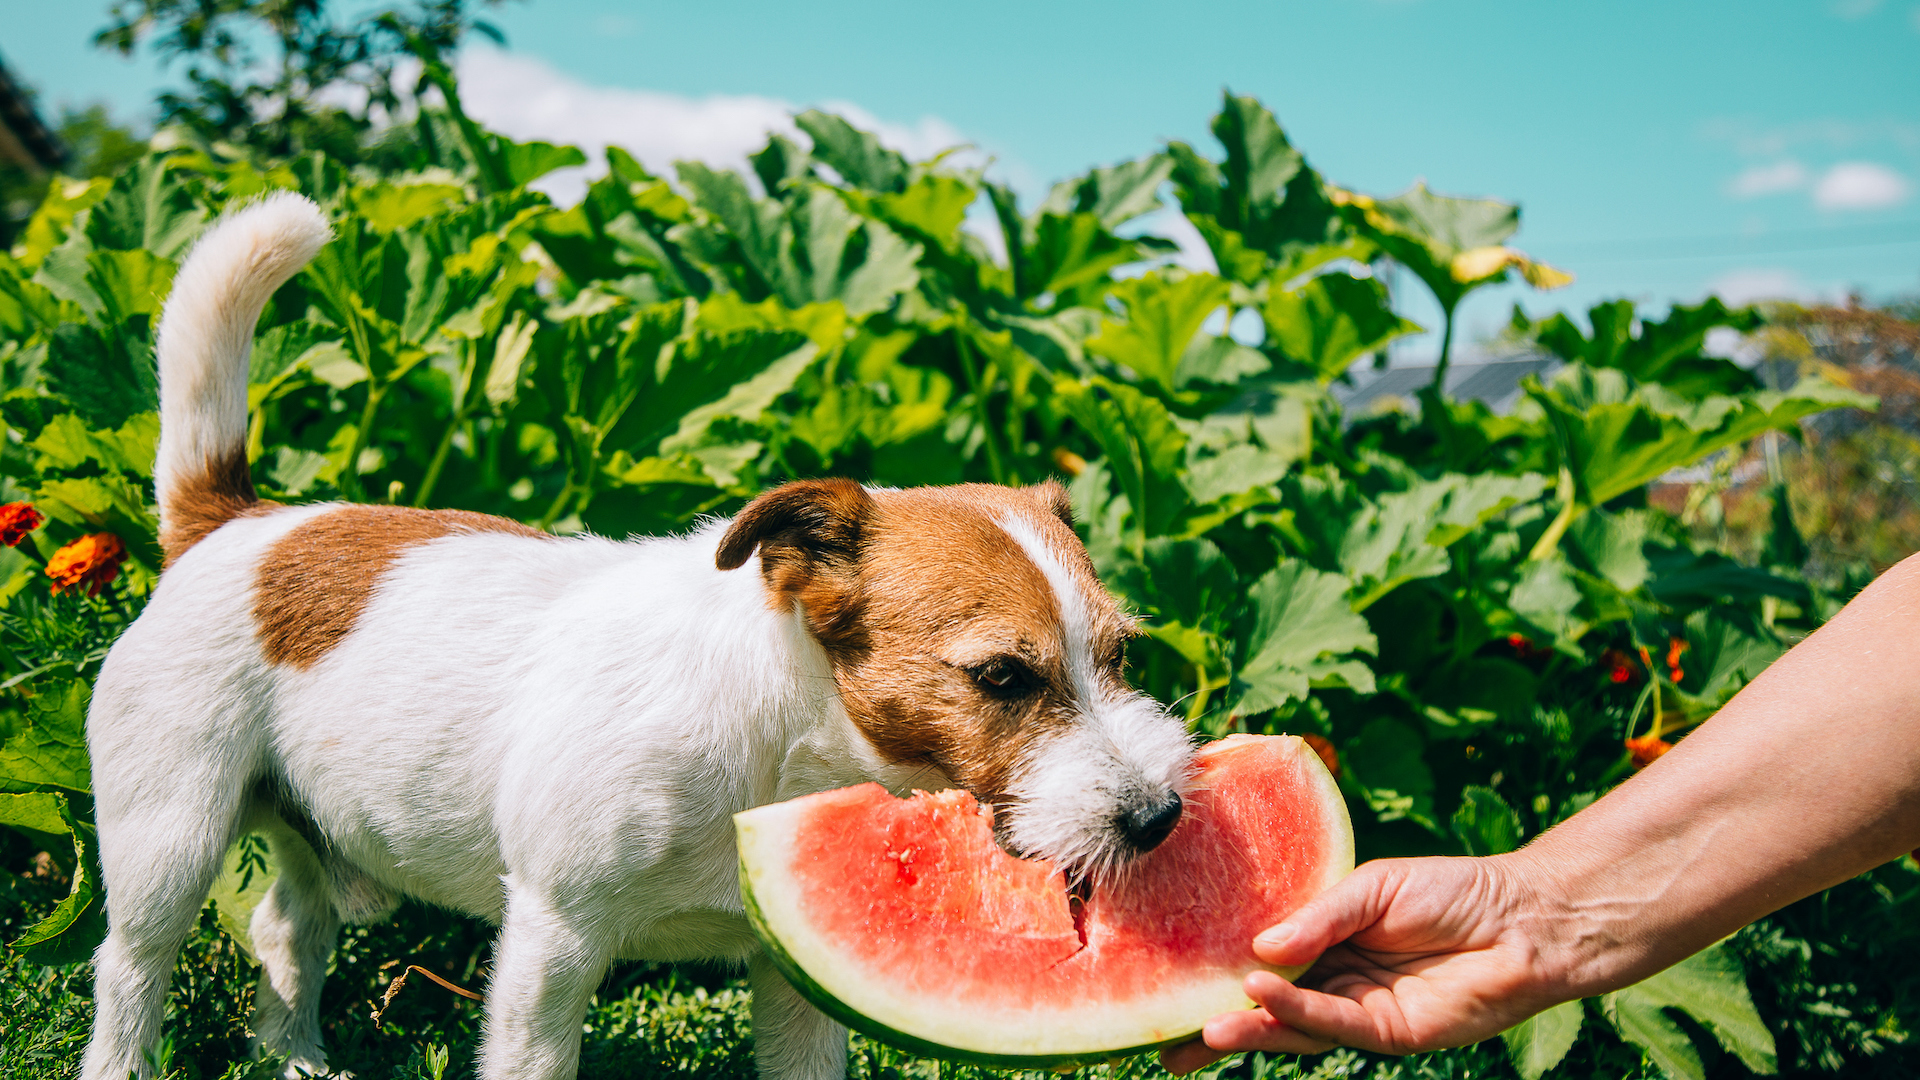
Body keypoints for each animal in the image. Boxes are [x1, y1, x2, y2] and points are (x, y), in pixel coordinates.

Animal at [78, 193, 1198, 1076]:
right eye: (1002, 676)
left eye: (1121, 656)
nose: (1158, 819)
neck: (779, 739)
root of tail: (230, 519)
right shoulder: (553, 941)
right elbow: (533, 1057)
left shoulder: (796, 983)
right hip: (169, 833)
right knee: (130, 966)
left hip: (310, 825)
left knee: (287, 928)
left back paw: (299, 1056)